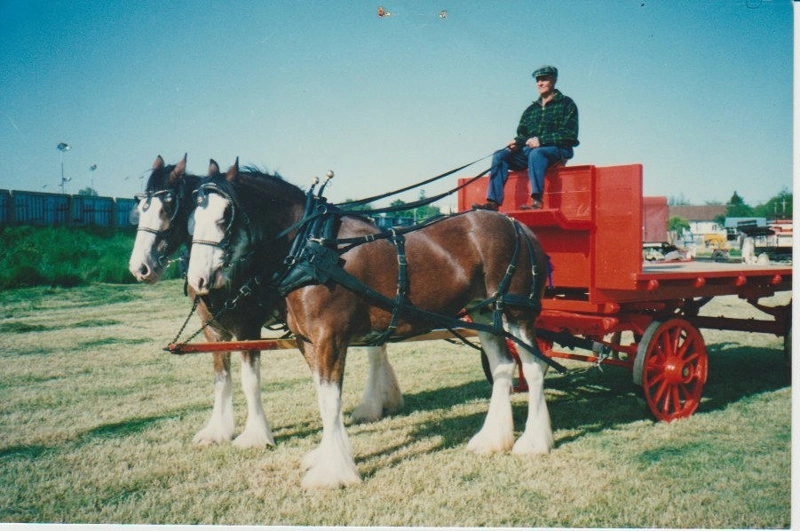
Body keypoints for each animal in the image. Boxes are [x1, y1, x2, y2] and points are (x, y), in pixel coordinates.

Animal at [186, 159, 556, 490]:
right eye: (192, 218)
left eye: (226, 216)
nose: (198, 280)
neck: (311, 247)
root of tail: (517, 224)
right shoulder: (308, 341)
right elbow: (322, 397)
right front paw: (325, 457)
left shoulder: (329, 338)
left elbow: (330, 400)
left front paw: (332, 472)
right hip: (484, 313)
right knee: (504, 366)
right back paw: (492, 440)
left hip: (516, 312)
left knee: (534, 366)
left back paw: (533, 443)